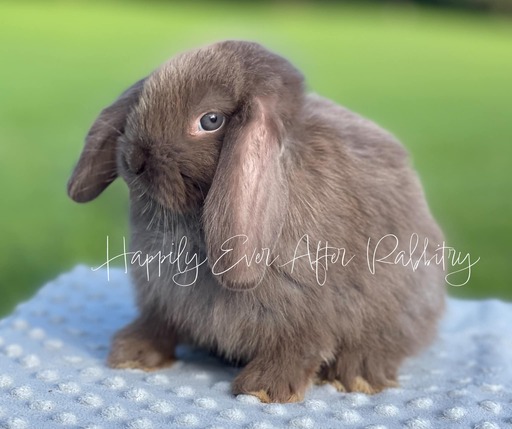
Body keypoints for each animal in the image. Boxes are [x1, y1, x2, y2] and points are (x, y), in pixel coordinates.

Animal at [67, 39, 444, 402]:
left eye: (210, 120)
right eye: (141, 103)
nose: (135, 159)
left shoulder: (310, 309)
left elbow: (300, 347)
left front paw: (264, 389)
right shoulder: (161, 296)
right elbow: (158, 324)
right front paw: (130, 354)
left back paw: (357, 376)